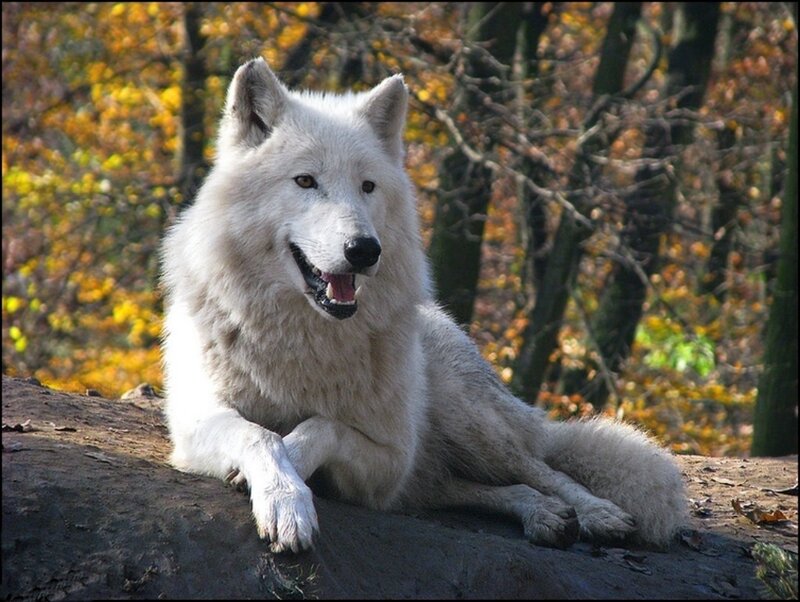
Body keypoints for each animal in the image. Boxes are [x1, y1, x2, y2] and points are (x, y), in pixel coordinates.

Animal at [161, 57, 686, 553]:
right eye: (305, 181)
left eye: (368, 186)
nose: (364, 250)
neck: (302, 336)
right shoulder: (194, 423)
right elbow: (260, 434)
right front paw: (284, 502)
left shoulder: (389, 460)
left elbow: (320, 426)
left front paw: (290, 484)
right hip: (438, 470)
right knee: (474, 489)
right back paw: (546, 516)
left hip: (469, 421)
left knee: (544, 470)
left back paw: (597, 513)